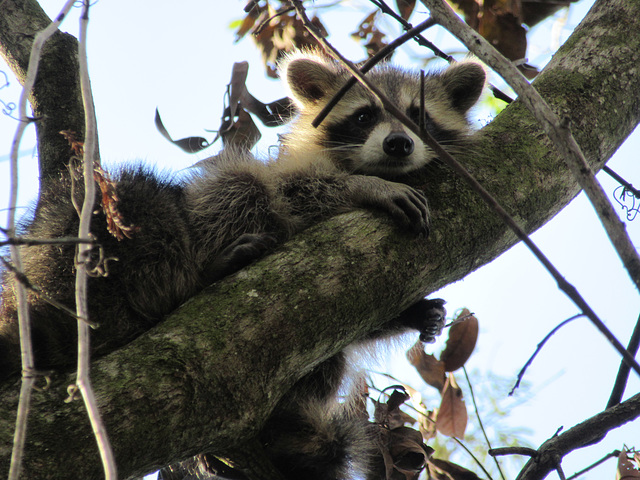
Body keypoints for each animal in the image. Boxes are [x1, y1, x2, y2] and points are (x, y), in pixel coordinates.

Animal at [0, 50, 480, 478]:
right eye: (364, 117)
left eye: (419, 117)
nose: (398, 144)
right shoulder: (293, 174)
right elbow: (294, 190)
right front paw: (365, 187)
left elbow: (356, 325)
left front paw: (413, 313)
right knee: (234, 187)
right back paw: (211, 269)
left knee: (331, 363)